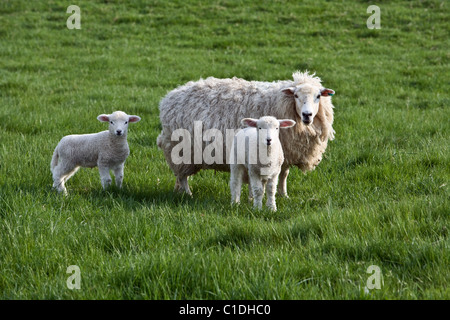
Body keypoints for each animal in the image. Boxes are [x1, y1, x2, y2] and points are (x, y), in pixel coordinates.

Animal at [156, 71, 336, 196]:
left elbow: (284, 175)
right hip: (182, 150)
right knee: (182, 176)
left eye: (318, 96)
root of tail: (169, 97)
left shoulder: (286, 152)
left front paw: (284, 195)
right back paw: (188, 194)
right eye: (296, 96)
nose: (307, 115)